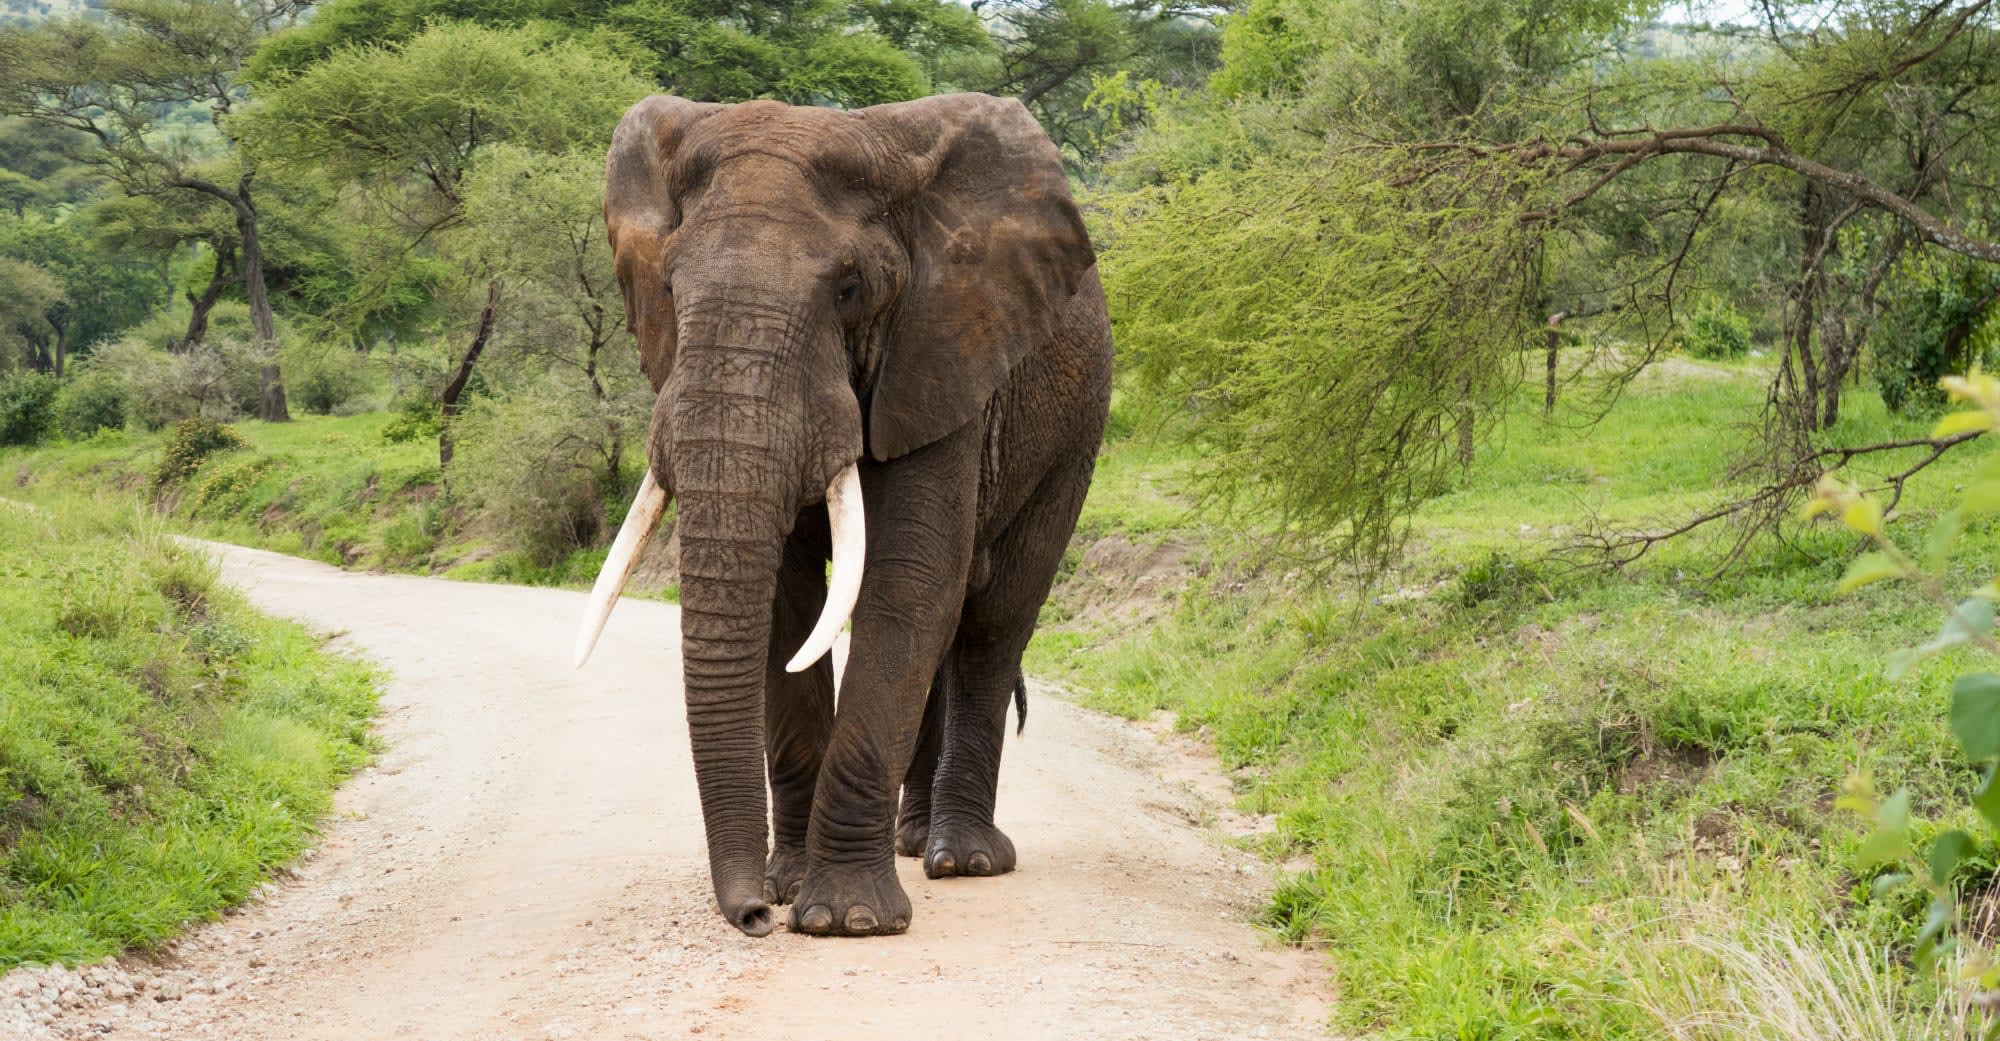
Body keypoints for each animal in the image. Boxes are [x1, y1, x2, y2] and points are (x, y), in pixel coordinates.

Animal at [574, 92, 1112, 938]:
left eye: (850, 289)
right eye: (667, 289)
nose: (753, 916)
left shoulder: (941, 353)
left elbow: (907, 582)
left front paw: (847, 918)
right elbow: (787, 603)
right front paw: (791, 883)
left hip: (1075, 430)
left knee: (994, 622)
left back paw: (962, 858)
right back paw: (913, 842)